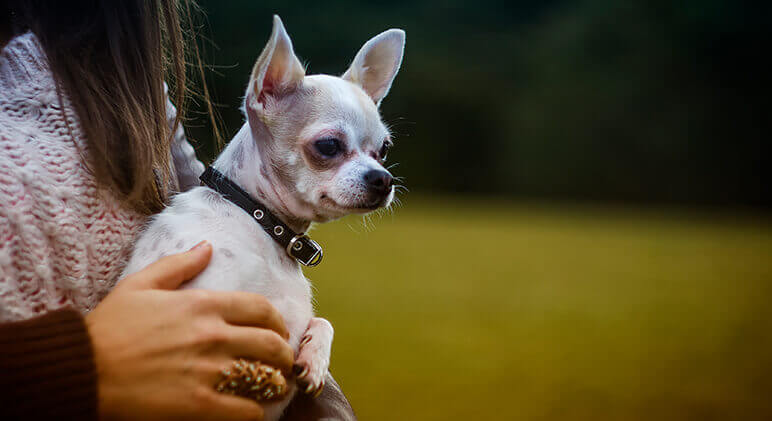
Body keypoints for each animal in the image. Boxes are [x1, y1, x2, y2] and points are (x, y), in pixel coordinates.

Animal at [122, 14, 404, 418]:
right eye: (328, 146)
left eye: (384, 149)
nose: (383, 179)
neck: (259, 221)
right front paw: (252, 375)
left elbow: (323, 321)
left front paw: (314, 359)